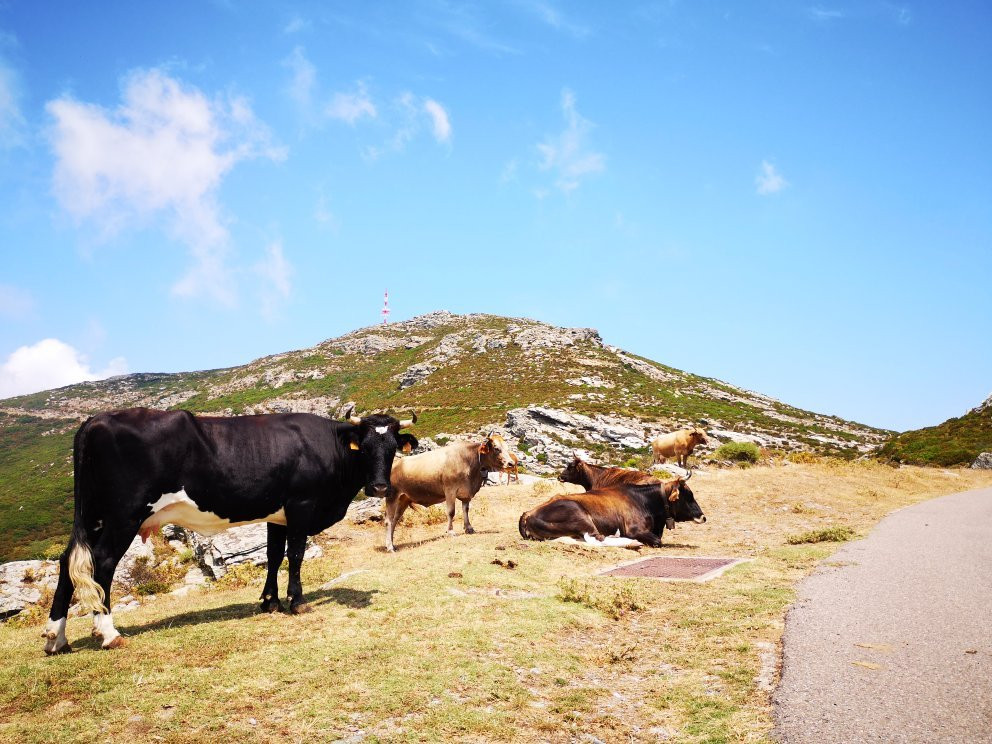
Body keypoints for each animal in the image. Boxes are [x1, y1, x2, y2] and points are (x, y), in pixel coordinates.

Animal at [41, 404, 414, 652]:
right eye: (364, 447)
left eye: (392, 448)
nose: (379, 487)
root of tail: (96, 419)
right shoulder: (301, 506)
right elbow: (294, 555)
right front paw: (297, 602)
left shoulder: (276, 514)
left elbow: (274, 556)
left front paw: (269, 602)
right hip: (123, 515)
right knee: (102, 564)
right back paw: (108, 633)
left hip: (93, 516)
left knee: (67, 562)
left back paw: (56, 638)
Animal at [386, 434, 516, 548]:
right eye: (496, 448)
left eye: (507, 447)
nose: (511, 463)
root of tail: (396, 463)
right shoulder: (450, 490)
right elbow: (451, 512)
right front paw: (450, 531)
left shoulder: (466, 493)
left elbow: (466, 509)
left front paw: (469, 528)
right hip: (392, 496)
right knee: (389, 520)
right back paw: (389, 546)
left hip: (403, 499)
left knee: (395, 519)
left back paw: (392, 543)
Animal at [520, 470, 704, 548]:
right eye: (688, 495)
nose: (703, 517)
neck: (644, 500)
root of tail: (528, 513)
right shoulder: (634, 529)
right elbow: (658, 541)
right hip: (579, 515)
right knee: (597, 539)